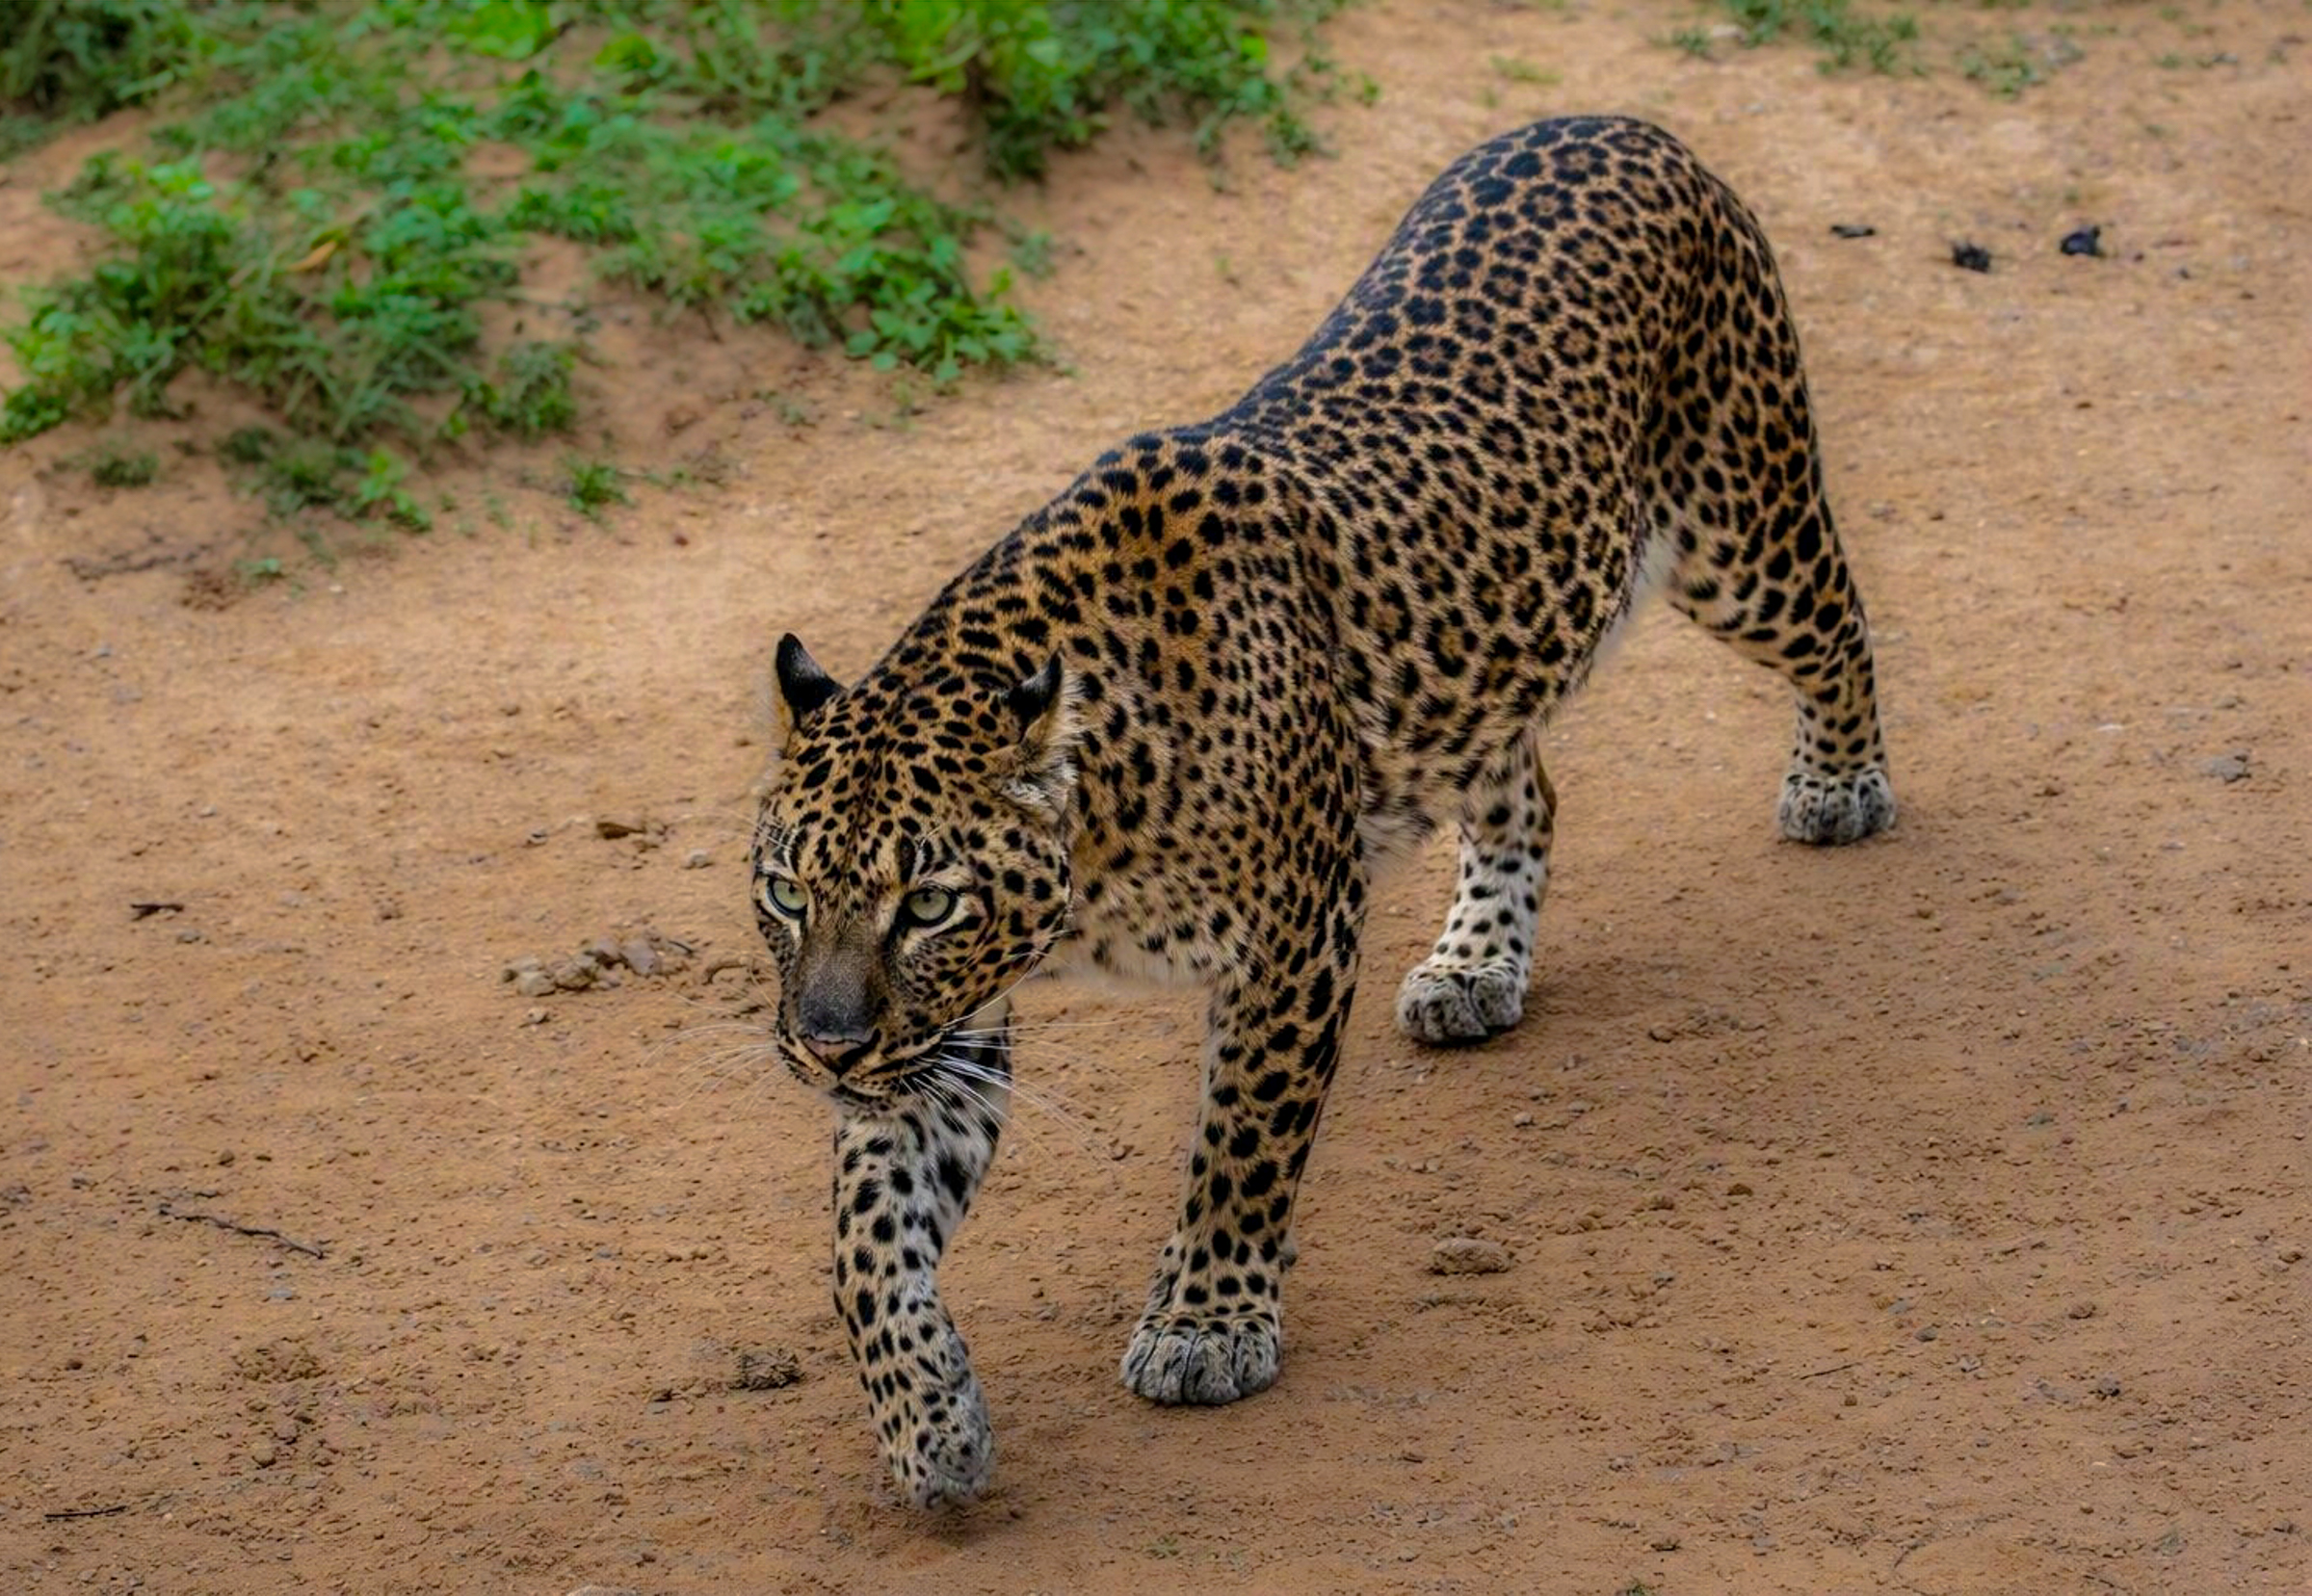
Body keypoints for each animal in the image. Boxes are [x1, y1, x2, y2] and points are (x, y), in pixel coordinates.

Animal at [747, 115, 1894, 1508]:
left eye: (926, 904)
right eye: (786, 892)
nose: (823, 1050)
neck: (1103, 834)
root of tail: (1623, 125)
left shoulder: (1294, 933)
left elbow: (1241, 1139)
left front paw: (1205, 1325)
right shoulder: (943, 1035)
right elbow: (867, 1241)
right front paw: (929, 1423)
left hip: (1742, 521)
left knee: (1839, 619)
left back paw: (1838, 784)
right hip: (1477, 684)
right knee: (1528, 787)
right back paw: (1476, 965)